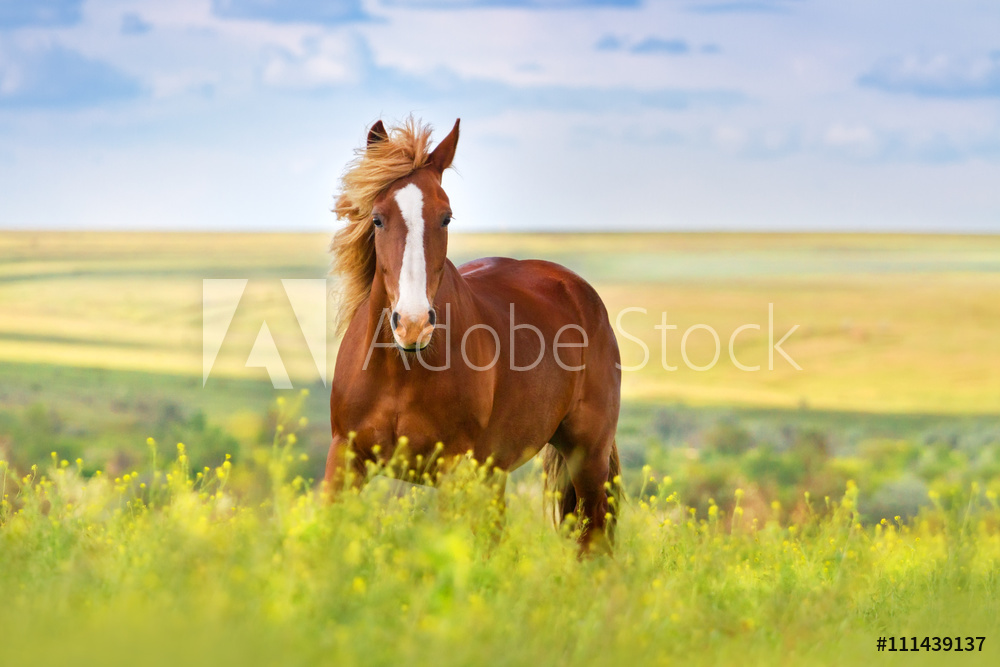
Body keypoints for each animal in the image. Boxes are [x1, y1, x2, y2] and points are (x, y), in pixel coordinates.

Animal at [326, 118, 624, 548]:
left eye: (446, 217)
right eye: (378, 219)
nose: (413, 324)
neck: (401, 370)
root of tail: (576, 289)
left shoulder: (453, 469)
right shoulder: (345, 458)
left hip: (588, 456)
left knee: (594, 537)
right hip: (495, 472)